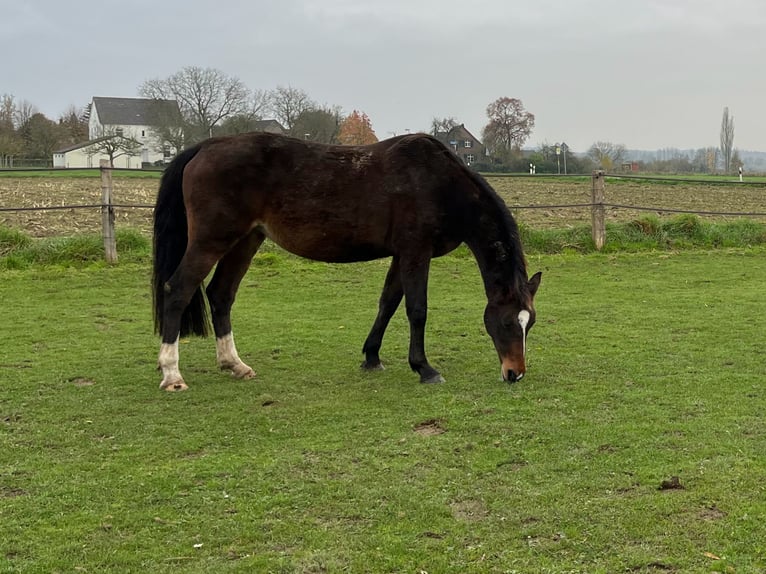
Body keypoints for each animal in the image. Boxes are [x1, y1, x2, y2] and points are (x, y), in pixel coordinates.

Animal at [153, 132, 544, 392]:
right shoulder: (415, 252)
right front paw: (424, 368)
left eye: (530, 323)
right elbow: (416, 309)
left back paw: (234, 364)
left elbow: (388, 303)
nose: (515, 373)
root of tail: (206, 146)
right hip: (211, 241)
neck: (438, 182)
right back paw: (172, 374)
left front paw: (371, 357)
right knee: (177, 290)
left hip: (245, 241)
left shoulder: (402, 255)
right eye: (507, 323)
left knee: (221, 295)